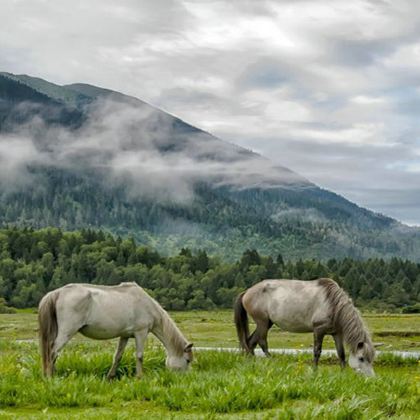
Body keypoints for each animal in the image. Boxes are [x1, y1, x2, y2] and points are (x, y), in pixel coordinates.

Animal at [37, 282, 194, 378]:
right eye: (187, 360)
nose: (183, 379)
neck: (147, 304)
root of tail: (58, 292)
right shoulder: (141, 332)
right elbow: (139, 356)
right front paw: (140, 377)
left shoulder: (125, 336)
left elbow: (118, 356)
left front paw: (110, 377)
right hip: (66, 332)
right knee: (53, 351)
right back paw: (50, 376)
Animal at [235, 278, 376, 376]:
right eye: (361, 358)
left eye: (371, 358)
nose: (371, 378)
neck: (332, 304)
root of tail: (247, 292)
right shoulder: (319, 330)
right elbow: (317, 352)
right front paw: (315, 371)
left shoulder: (337, 333)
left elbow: (341, 354)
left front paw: (343, 374)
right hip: (262, 323)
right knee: (261, 342)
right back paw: (273, 364)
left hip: (267, 323)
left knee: (250, 342)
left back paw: (251, 364)